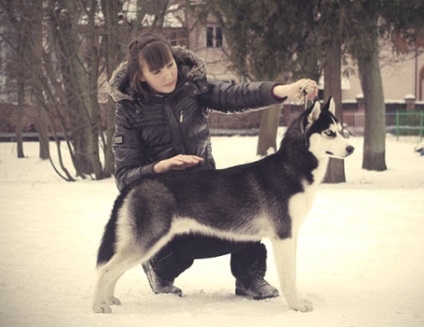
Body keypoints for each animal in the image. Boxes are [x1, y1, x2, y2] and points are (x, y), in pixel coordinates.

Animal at [92, 98, 354, 316]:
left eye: (341, 132)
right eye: (329, 133)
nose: (351, 149)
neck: (293, 167)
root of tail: (139, 181)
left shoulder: (290, 236)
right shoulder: (283, 236)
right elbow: (289, 277)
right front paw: (296, 305)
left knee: (113, 269)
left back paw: (110, 299)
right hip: (148, 239)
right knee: (106, 269)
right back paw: (98, 306)